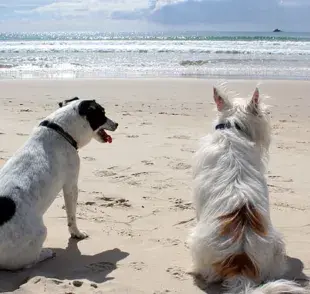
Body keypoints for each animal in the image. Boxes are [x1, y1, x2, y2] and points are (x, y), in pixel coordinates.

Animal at [0, 98, 118, 272]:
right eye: (102, 113)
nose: (117, 124)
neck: (61, 130)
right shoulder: (71, 185)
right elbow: (72, 216)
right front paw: (76, 233)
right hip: (39, 233)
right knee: (27, 263)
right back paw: (46, 253)